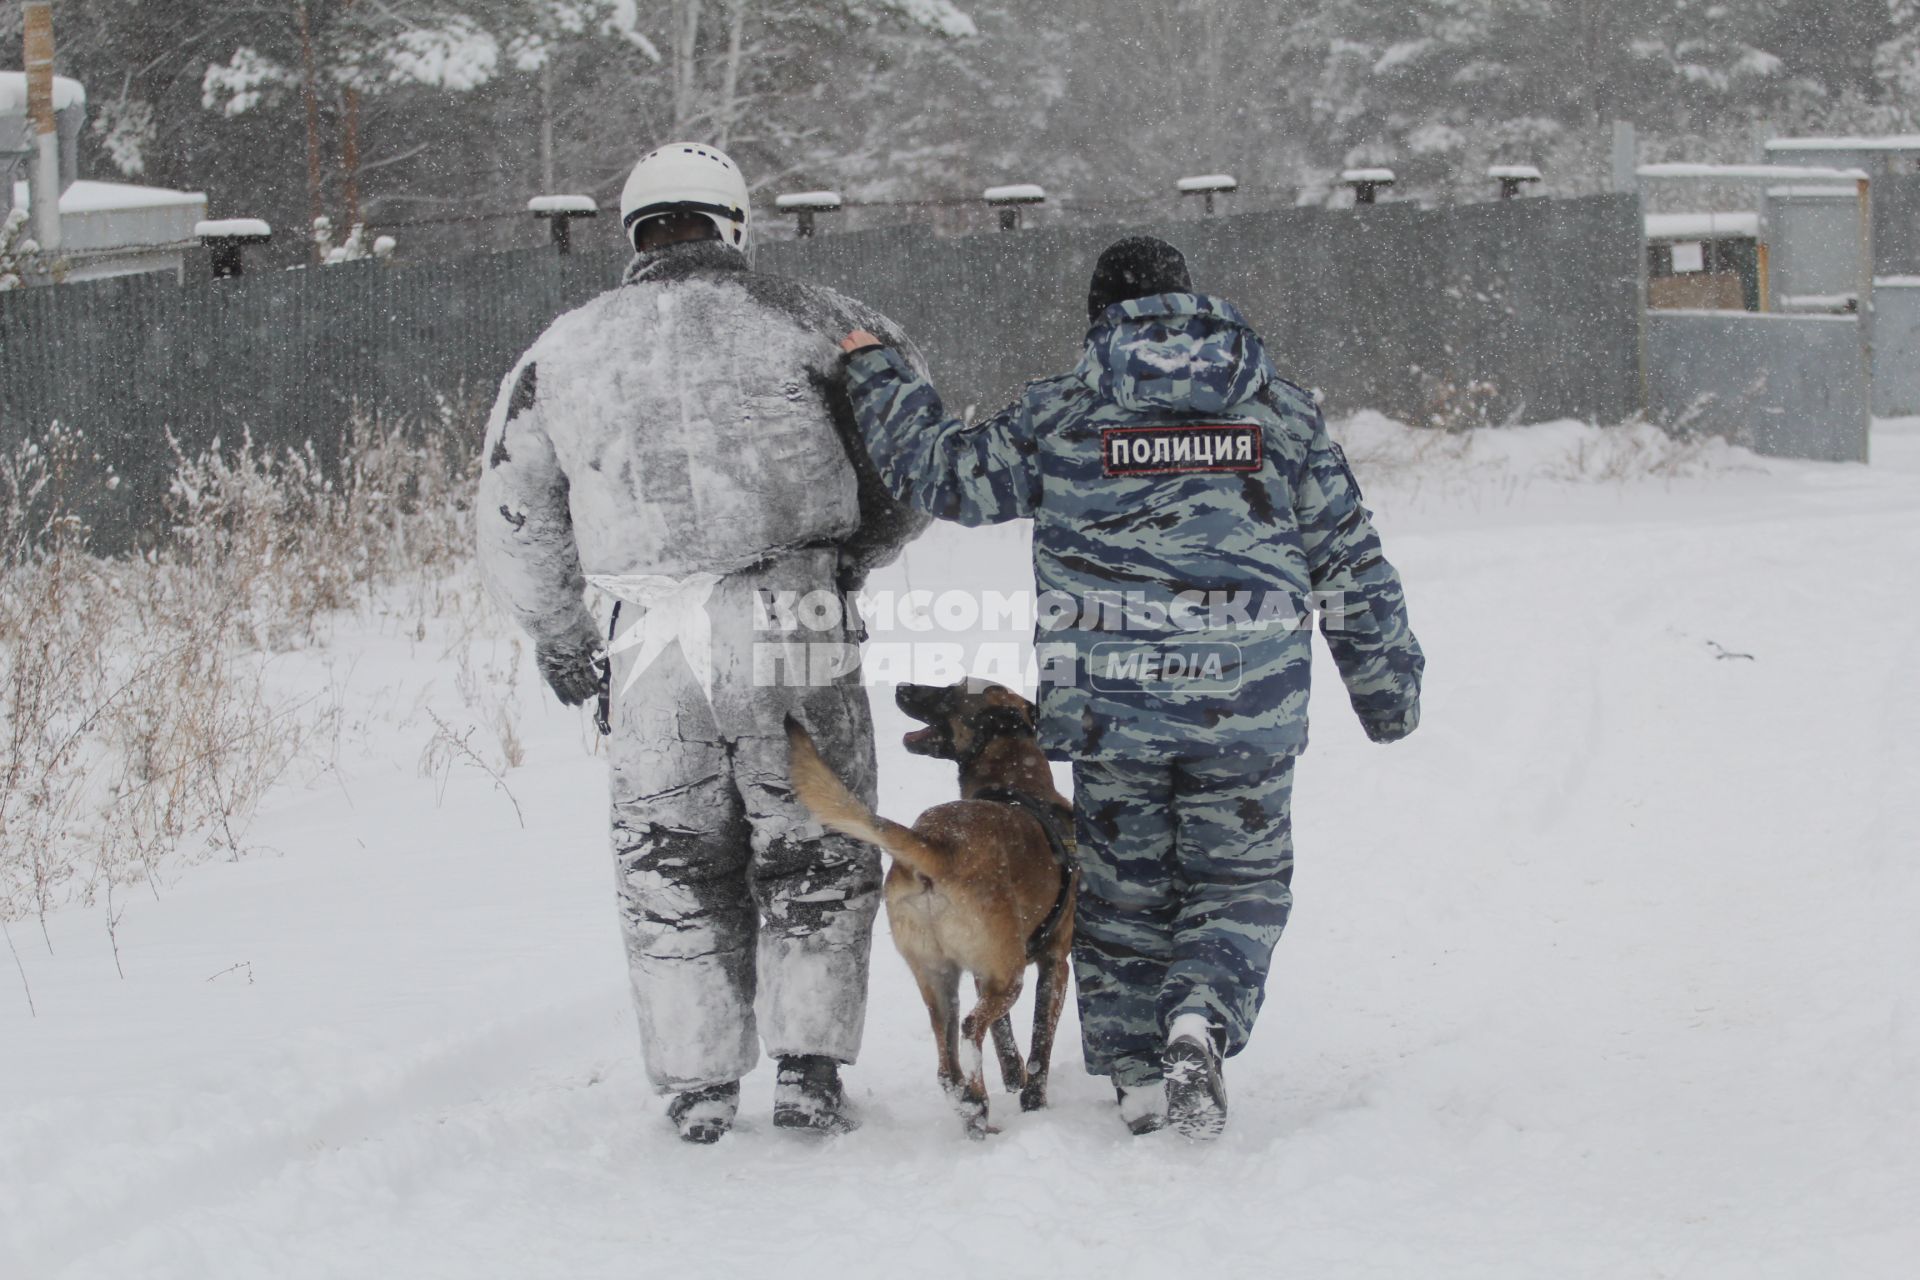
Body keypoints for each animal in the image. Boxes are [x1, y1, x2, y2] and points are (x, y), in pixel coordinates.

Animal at [783, 679, 1082, 1143]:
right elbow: (1039, 1044)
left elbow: (1006, 1037)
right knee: (971, 1029)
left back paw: (971, 1107)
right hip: (1008, 974)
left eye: (951, 690)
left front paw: (1013, 1078)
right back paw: (978, 1104)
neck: (1018, 780)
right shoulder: (1056, 964)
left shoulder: (980, 972)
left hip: (938, 977)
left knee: (948, 1064)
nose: (903, 686)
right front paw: (1033, 1101)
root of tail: (936, 845)